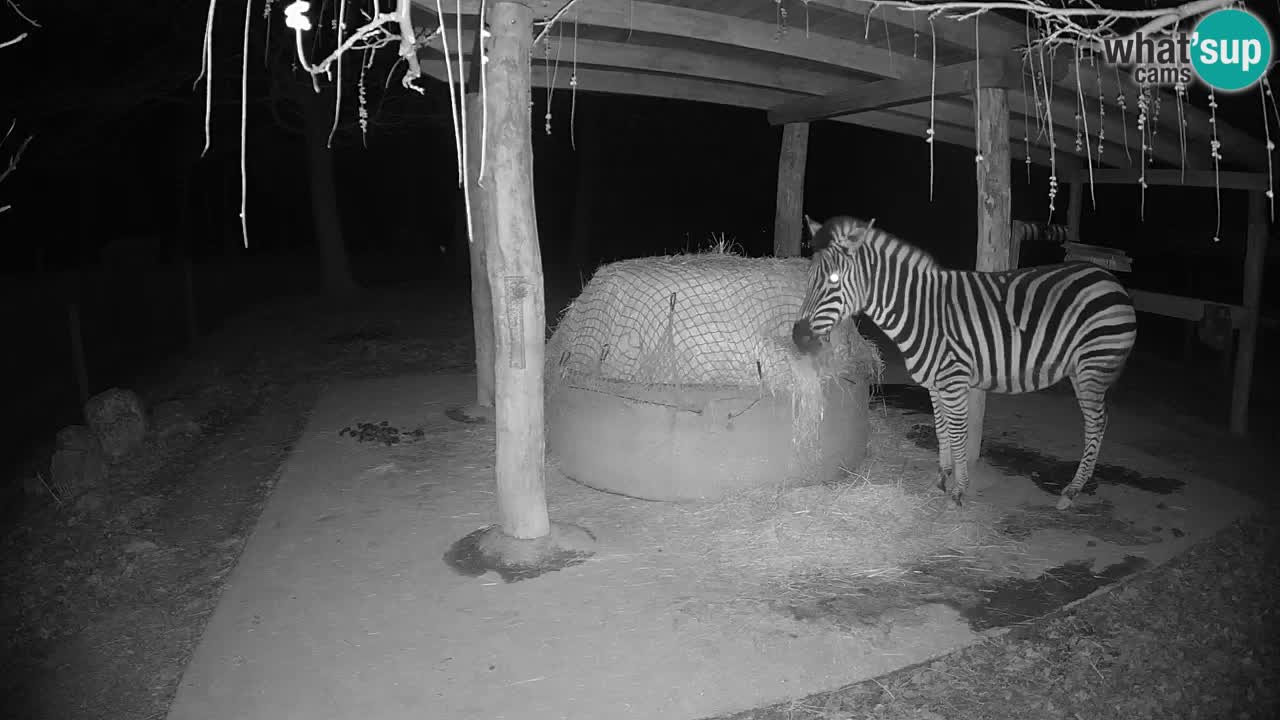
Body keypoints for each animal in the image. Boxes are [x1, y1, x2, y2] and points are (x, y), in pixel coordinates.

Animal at [788, 213, 1141, 509]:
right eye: (810, 276)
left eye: (834, 279)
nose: (798, 336)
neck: (920, 312)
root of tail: (1106, 277)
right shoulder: (934, 382)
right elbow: (941, 428)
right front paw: (942, 477)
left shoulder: (953, 380)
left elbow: (958, 433)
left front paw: (959, 490)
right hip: (1085, 369)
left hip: (1093, 367)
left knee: (1096, 424)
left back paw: (1072, 490)